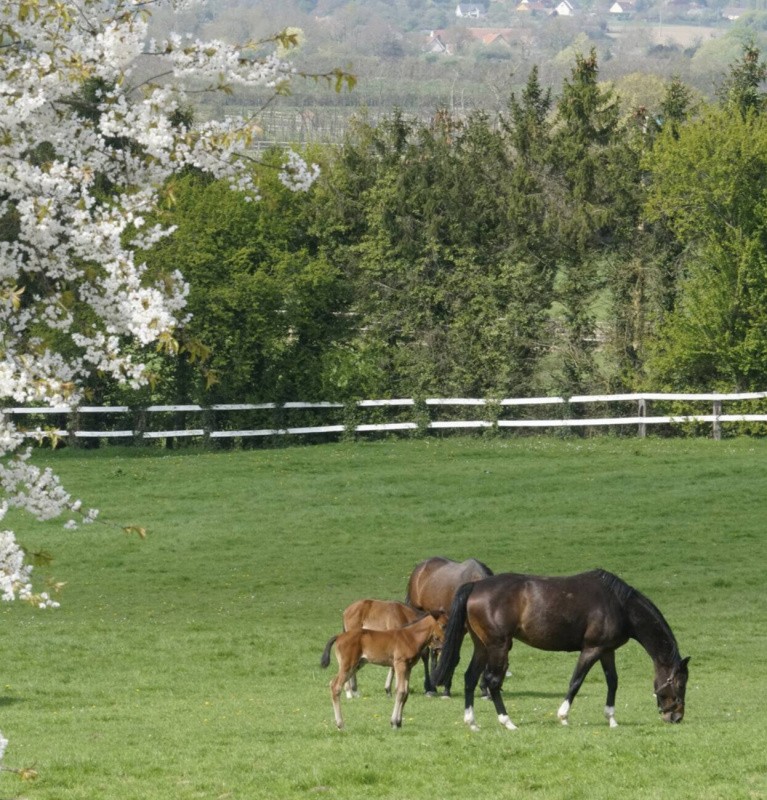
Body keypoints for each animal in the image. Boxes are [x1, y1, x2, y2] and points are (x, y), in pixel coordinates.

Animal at [405, 556, 494, 695]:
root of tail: (420, 567)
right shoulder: (458, 629)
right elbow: (453, 657)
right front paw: (446, 688)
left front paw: (484, 689)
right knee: (425, 653)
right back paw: (429, 687)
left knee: (434, 652)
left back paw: (433, 684)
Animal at [431, 569, 690, 731]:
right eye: (680, 683)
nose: (676, 716)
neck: (618, 604)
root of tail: (475, 586)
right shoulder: (591, 649)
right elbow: (576, 681)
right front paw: (563, 716)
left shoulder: (607, 651)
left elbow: (613, 682)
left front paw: (611, 719)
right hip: (499, 646)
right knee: (492, 682)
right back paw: (508, 722)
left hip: (482, 646)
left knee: (470, 678)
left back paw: (472, 722)